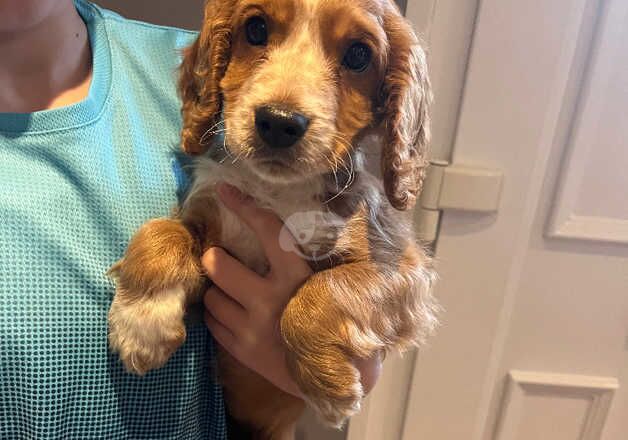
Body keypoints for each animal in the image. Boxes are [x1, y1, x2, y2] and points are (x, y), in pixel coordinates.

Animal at [108, 0, 440, 436]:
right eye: (256, 29)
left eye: (358, 55)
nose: (280, 122)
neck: (276, 192)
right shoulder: (208, 227)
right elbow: (161, 232)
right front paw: (141, 322)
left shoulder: (402, 269)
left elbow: (322, 292)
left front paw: (331, 388)